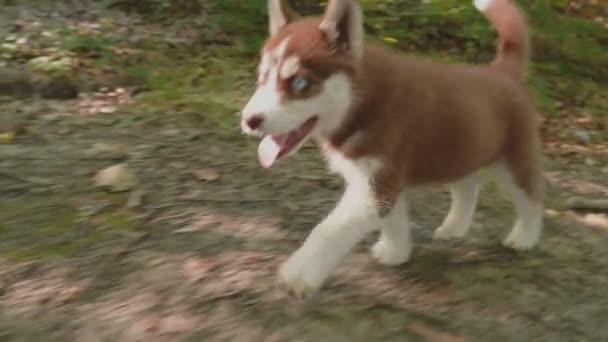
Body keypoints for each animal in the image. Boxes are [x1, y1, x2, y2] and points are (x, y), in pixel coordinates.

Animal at [240, 0, 544, 296]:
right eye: (261, 78)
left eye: (300, 82)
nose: (249, 120)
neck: (360, 102)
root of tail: (502, 70)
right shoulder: (380, 179)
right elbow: (394, 217)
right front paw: (395, 250)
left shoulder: (378, 182)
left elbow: (328, 230)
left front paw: (299, 275)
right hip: (461, 150)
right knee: (469, 185)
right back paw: (454, 227)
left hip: (514, 159)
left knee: (531, 198)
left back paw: (524, 237)